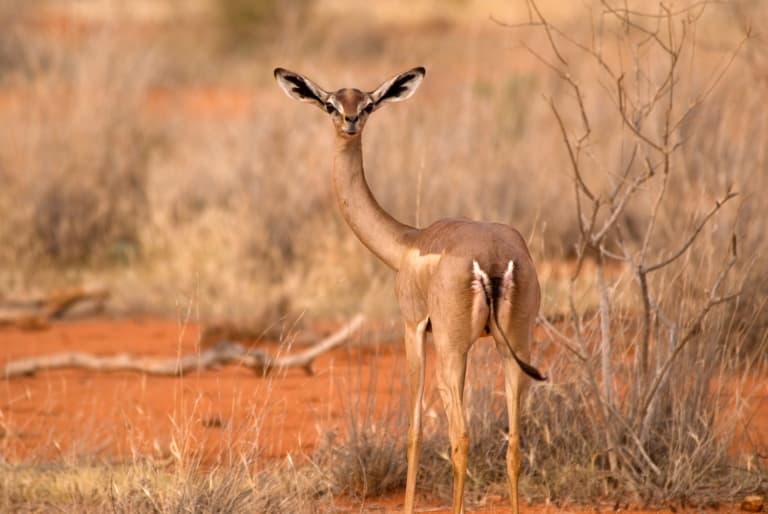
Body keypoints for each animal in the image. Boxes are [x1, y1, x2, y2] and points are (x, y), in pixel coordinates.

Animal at [272, 67, 544, 512]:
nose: (350, 122)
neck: (405, 243)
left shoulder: (413, 329)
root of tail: (493, 260)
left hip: (453, 349)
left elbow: (414, 433)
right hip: (516, 347)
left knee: (460, 437)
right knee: (515, 445)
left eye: (366, 104)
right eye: (331, 104)